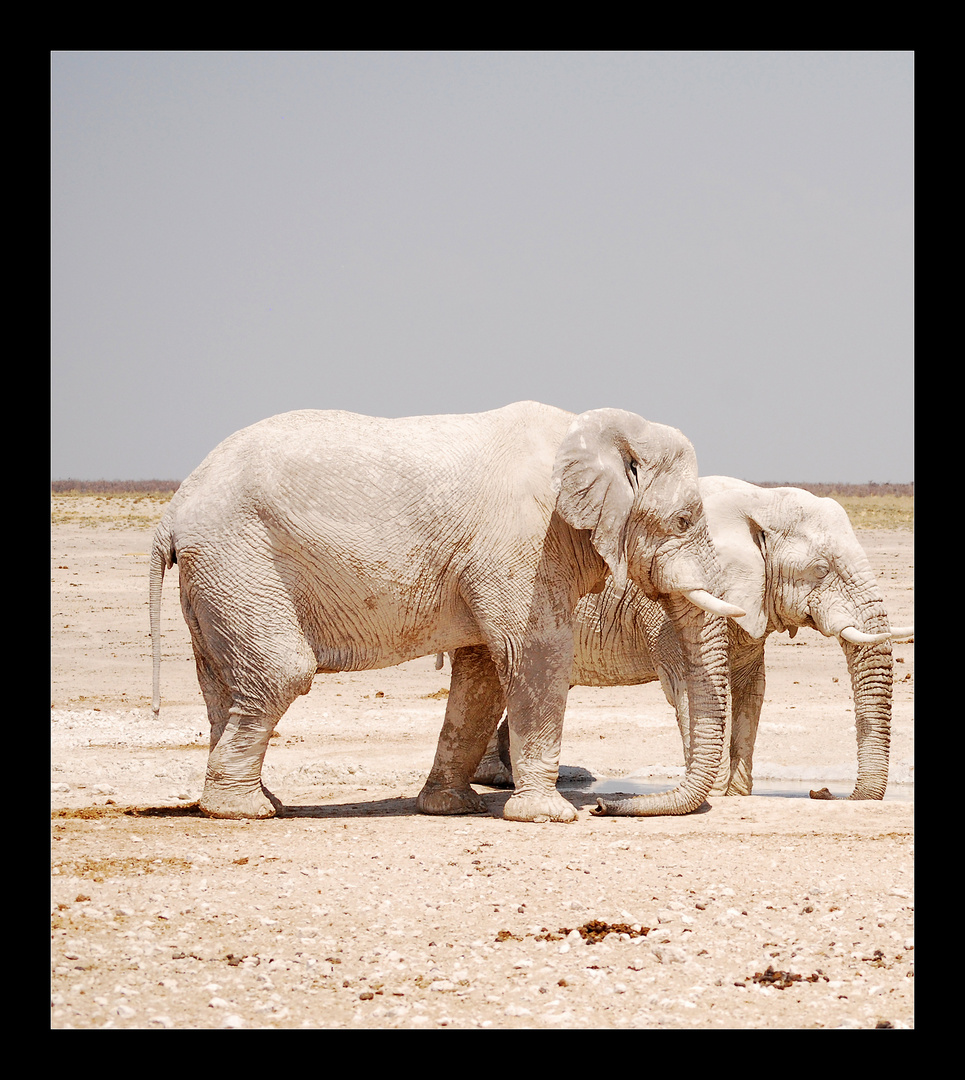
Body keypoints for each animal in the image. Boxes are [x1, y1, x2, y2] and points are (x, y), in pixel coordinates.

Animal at [151, 401, 742, 820]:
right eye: (685, 521)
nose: (605, 805)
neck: (590, 430)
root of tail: (172, 512)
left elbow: (483, 672)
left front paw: (451, 808)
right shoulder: (524, 543)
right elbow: (534, 654)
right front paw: (548, 817)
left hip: (218, 578)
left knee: (223, 685)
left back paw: (255, 799)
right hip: (239, 559)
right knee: (282, 673)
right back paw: (243, 810)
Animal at [474, 477, 915, 807]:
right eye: (821, 570)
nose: (826, 793)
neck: (758, 499)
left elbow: (751, 688)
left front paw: (735, 793)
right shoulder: (671, 602)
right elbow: (691, 684)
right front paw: (715, 792)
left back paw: (500, 777)